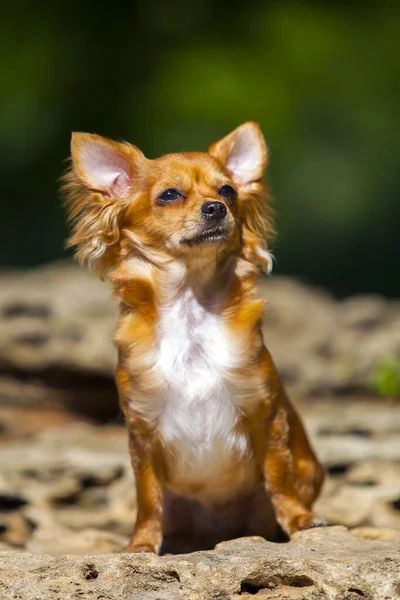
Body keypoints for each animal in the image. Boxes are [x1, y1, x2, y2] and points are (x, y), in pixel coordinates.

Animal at [63, 122, 324, 552]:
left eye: (228, 191)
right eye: (170, 195)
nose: (216, 208)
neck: (191, 307)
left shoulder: (265, 411)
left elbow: (278, 475)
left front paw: (299, 519)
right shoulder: (142, 430)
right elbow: (147, 495)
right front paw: (141, 545)